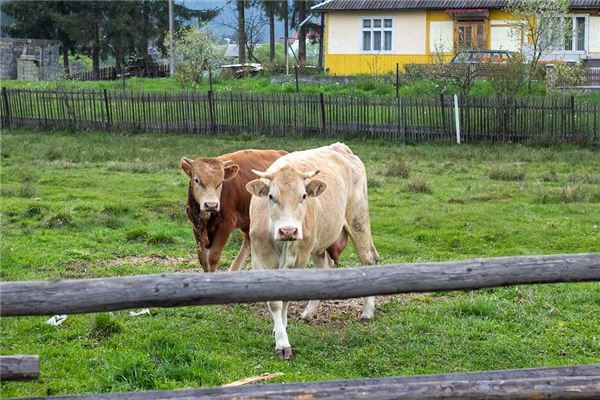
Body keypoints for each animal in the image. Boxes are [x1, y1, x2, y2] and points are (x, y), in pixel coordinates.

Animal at [245, 141, 380, 360]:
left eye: (303, 196)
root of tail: (340, 147)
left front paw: (283, 339)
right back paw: (309, 312)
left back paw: (367, 313)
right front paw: (279, 333)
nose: (288, 230)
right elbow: (275, 302)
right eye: (271, 196)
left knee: (369, 260)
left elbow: (285, 300)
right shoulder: (260, 259)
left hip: (358, 221)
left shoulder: (299, 259)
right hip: (320, 243)